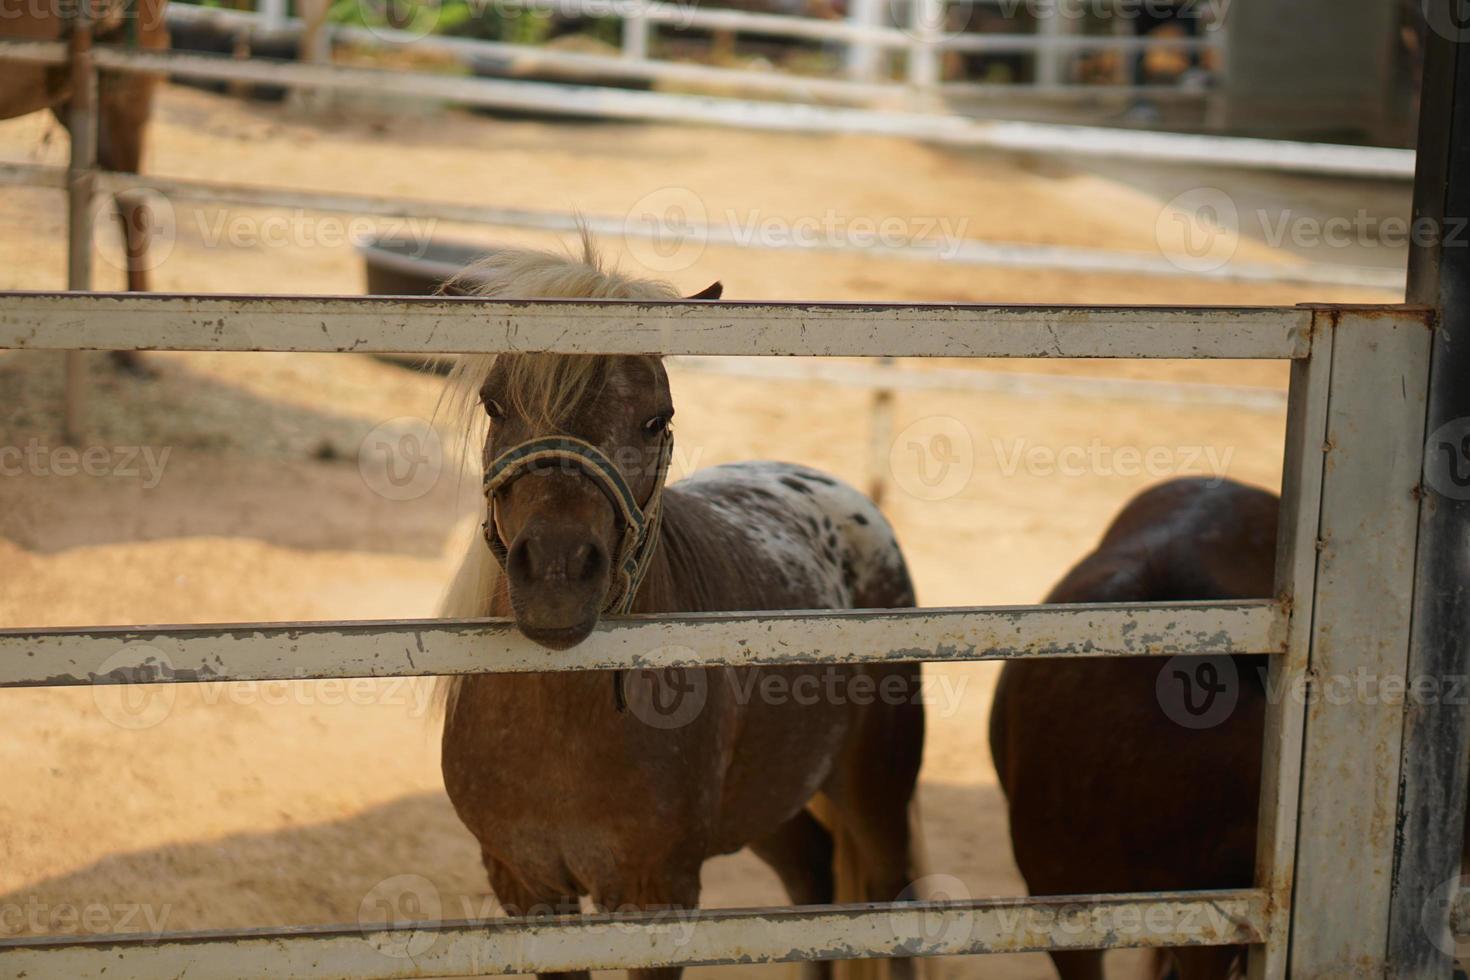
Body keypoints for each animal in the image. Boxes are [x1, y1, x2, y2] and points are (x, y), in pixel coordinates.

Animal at [432, 239, 929, 980]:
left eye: (656, 419)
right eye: (494, 405)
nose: (556, 572)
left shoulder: (656, 896)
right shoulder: (528, 889)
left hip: (876, 796)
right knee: (811, 882)